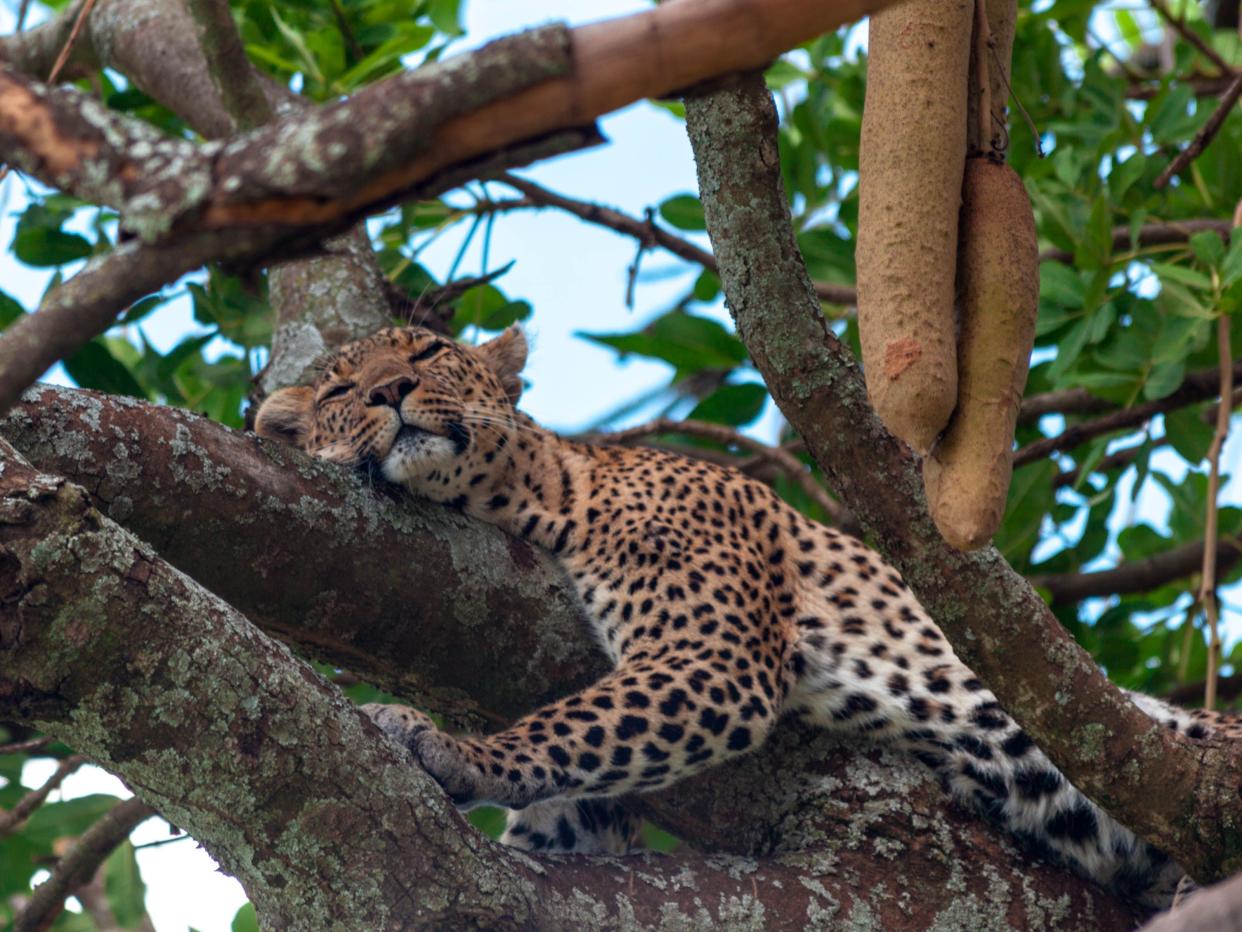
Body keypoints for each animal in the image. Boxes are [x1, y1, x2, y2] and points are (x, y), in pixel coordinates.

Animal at [254, 325, 1242, 909]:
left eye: (426, 350)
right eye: (338, 390)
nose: (386, 391)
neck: (543, 500)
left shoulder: (716, 656)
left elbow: (567, 726)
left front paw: (451, 748)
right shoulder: (588, 816)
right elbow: (572, 797)